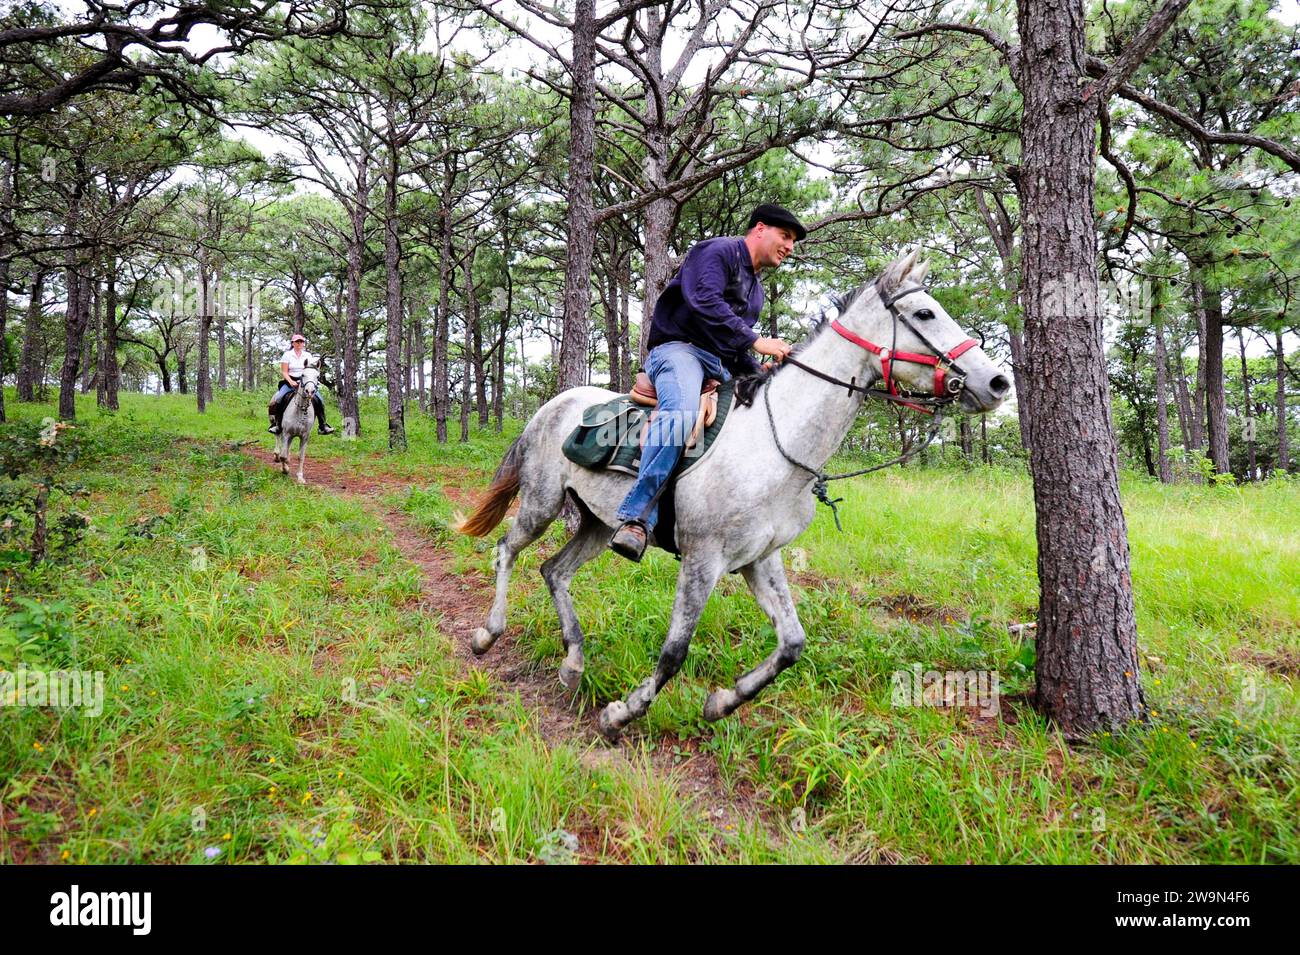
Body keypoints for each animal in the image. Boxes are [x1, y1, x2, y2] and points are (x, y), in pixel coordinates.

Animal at [457, 250, 1013, 743]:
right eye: (924, 313)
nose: (997, 382)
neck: (776, 442)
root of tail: (553, 403)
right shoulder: (702, 558)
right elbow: (674, 651)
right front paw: (620, 714)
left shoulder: (761, 558)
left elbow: (792, 644)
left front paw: (721, 703)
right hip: (542, 503)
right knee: (507, 550)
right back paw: (488, 634)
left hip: (596, 523)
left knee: (554, 571)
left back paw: (573, 662)